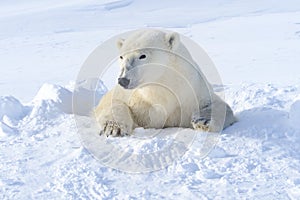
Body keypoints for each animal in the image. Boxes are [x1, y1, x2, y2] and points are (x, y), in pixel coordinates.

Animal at [95, 29, 236, 136]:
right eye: (121, 56)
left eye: (142, 56)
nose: (123, 80)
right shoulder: (135, 98)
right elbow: (110, 102)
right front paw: (114, 128)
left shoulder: (191, 93)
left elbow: (221, 106)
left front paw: (203, 121)